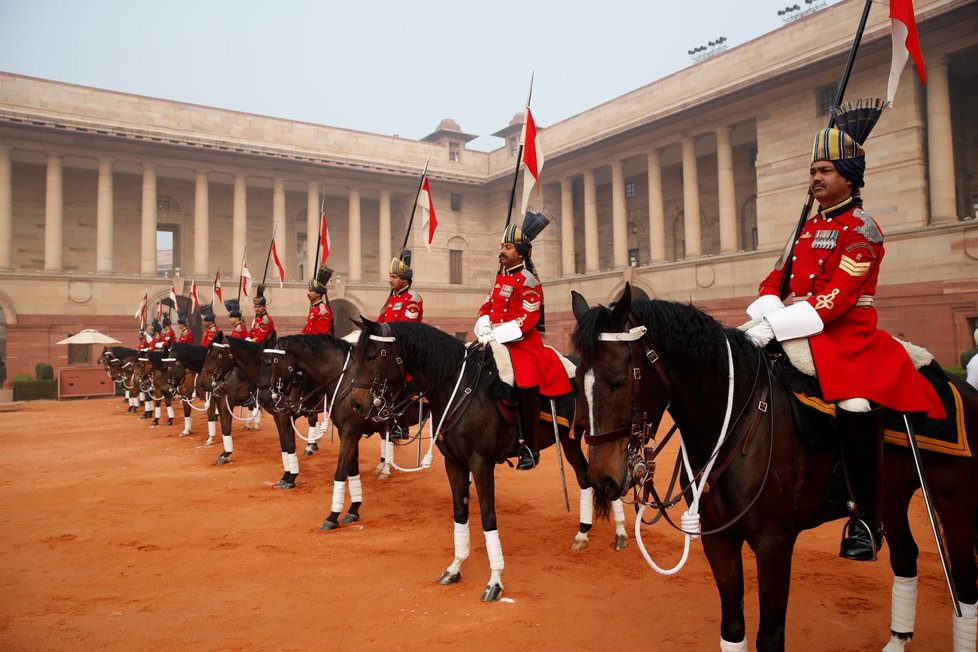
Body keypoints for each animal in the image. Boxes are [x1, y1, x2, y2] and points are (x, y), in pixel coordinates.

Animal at [348, 318, 624, 604]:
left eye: (372, 356)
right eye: (355, 356)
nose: (356, 405)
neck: (458, 390)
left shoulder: (481, 464)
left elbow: (488, 517)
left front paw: (495, 581)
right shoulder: (454, 463)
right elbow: (460, 513)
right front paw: (455, 567)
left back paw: (620, 532)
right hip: (570, 442)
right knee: (585, 478)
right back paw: (583, 533)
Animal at [568, 286, 972, 652]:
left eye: (619, 380)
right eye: (577, 379)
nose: (603, 479)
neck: (733, 424)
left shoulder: (774, 544)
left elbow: (770, 638)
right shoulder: (718, 540)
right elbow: (733, 630)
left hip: (953, 499)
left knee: (966, 582)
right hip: (890, 495)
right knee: (905, 557)